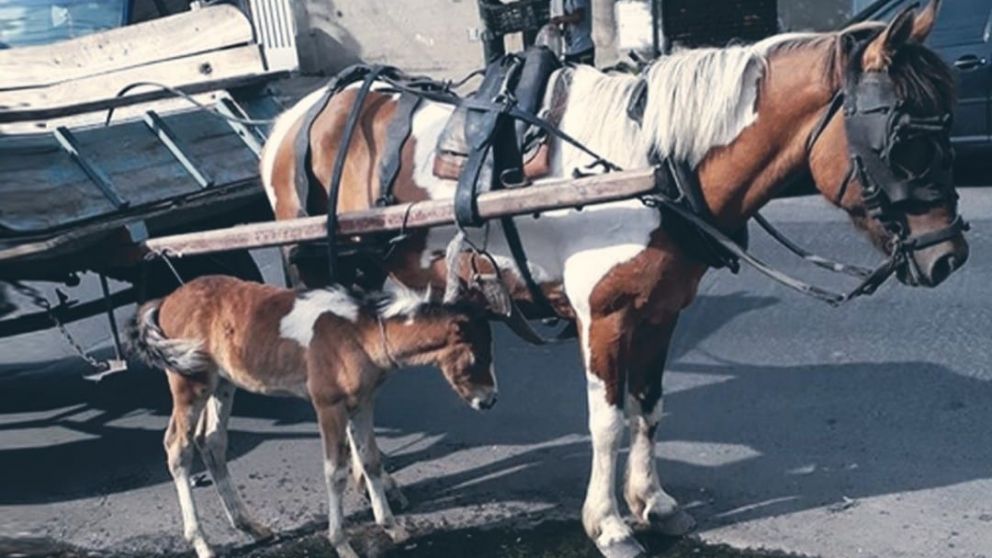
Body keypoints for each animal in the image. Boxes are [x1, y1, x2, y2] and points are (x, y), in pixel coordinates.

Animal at [126, 275, 497, 558]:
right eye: (476, 357)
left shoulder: (362, 403)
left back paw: (251, 526)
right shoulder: (327, 405)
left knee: (212, 441)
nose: (490, 400)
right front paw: (342, 544)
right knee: (178, 446)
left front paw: (393, 527)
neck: (360, 333)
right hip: (190, 382)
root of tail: (165, 300)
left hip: (222, 384)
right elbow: (335, 472)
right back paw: (202, 544)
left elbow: (371, 461)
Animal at [260, 2, 967, 555]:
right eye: (903, 138)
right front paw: (610, 525)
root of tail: (296, 118)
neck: (652, 167)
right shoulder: (603, 317)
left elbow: (648, 409)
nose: (951, 256)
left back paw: (376, 477)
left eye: (948, 121)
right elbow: (607, 423)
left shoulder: (660, 311)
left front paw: (653, 503)